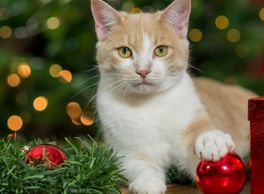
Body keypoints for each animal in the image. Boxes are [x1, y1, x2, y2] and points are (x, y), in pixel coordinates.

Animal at [91, 0, 256, 194]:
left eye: (161, 50)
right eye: (124, 51)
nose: (143, 70)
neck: (150, 104)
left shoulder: (192, 114)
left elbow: (200, 132)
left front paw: (211, 139)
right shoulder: (122, 151)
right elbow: (136, 164)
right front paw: (148, 181)